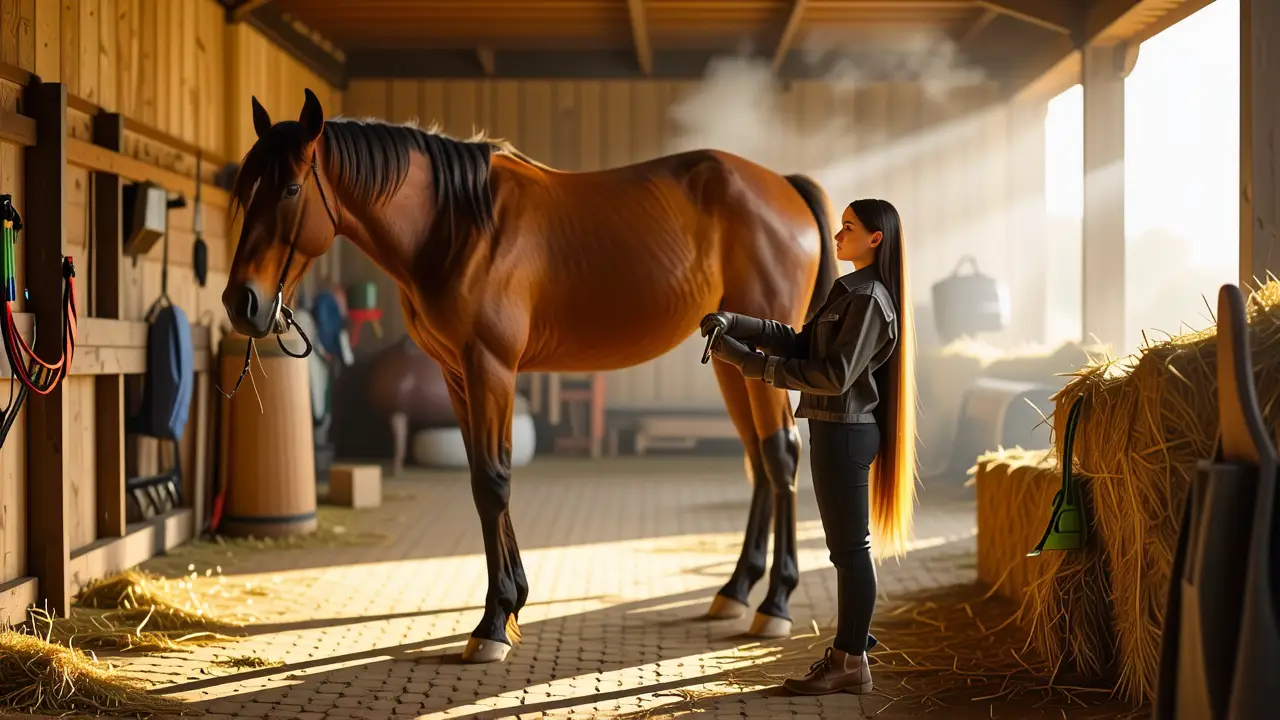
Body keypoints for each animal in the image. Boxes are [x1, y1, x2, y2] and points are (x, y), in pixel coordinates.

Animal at [222, 89, 839, 664]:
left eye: (290, 190)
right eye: (246, 188)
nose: (241, 303)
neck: (458, 225)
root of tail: (782, 186)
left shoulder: (490, 365)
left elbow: (493, 481)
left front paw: (493, 623)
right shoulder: (456, 373)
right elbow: (481, 476)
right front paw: (513, 601)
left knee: (781, 455)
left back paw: (774, 605)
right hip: (736, 364)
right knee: (759, 460)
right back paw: (734, 591)